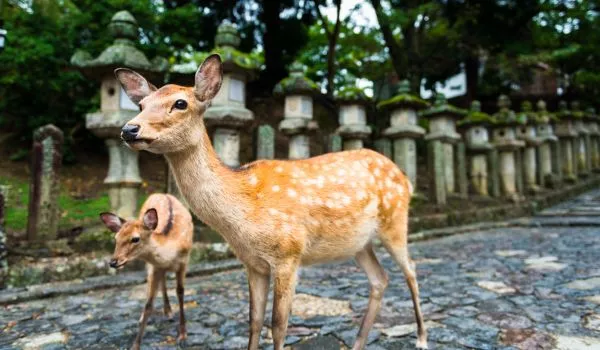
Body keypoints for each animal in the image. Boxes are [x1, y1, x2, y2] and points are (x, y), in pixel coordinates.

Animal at [98, 193, 192, 350]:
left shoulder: (184, 262)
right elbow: (148, 304)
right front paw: (135, 345)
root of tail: (163, 194)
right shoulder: (155, 267)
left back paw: (169, 312)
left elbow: (180, 292)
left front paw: (183, 336)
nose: (113, 262)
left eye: (135, 239)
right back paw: (164, 312)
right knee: (159, 282)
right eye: (116, 238)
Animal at [112, 55, 428, 350]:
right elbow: (253, 321)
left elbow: (278, 325)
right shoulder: (253, 263)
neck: (241, 217)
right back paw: (359, 342)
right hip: (359, 243)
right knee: (380, 279)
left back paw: (422, 338)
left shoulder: (289, 254)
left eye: (180, 103)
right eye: (142, 105)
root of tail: (404, 177)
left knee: (411, 270)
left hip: (395, 222)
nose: (129, 129)